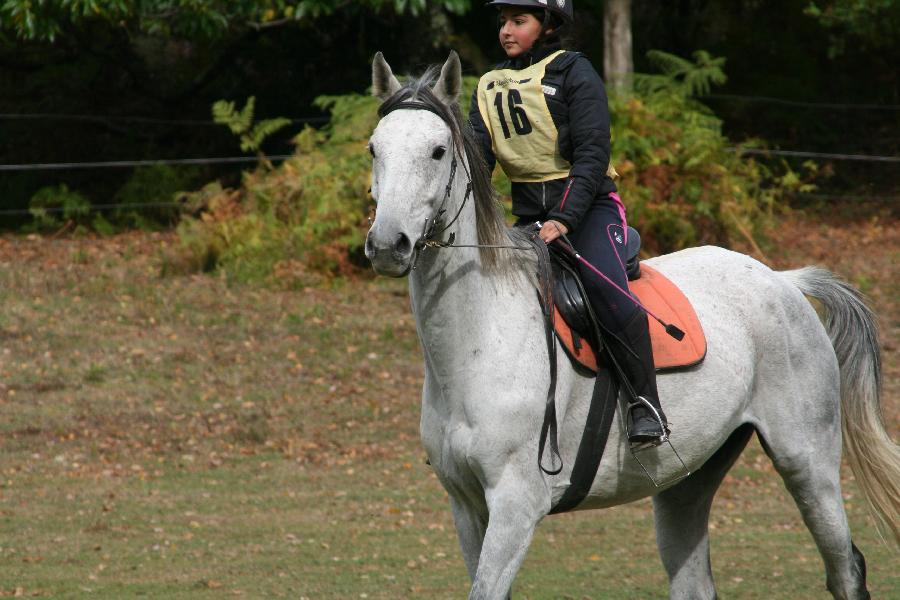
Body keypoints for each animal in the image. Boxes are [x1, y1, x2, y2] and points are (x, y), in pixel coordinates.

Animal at [362, 52, 896, 600]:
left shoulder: (515, 506)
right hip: (688, 480)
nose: (387, 245)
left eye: (437, 151)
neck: (481, 340)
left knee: (846, 568)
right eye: (374, 148)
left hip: (807, 463)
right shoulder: (467, 507)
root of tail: (783, 280)